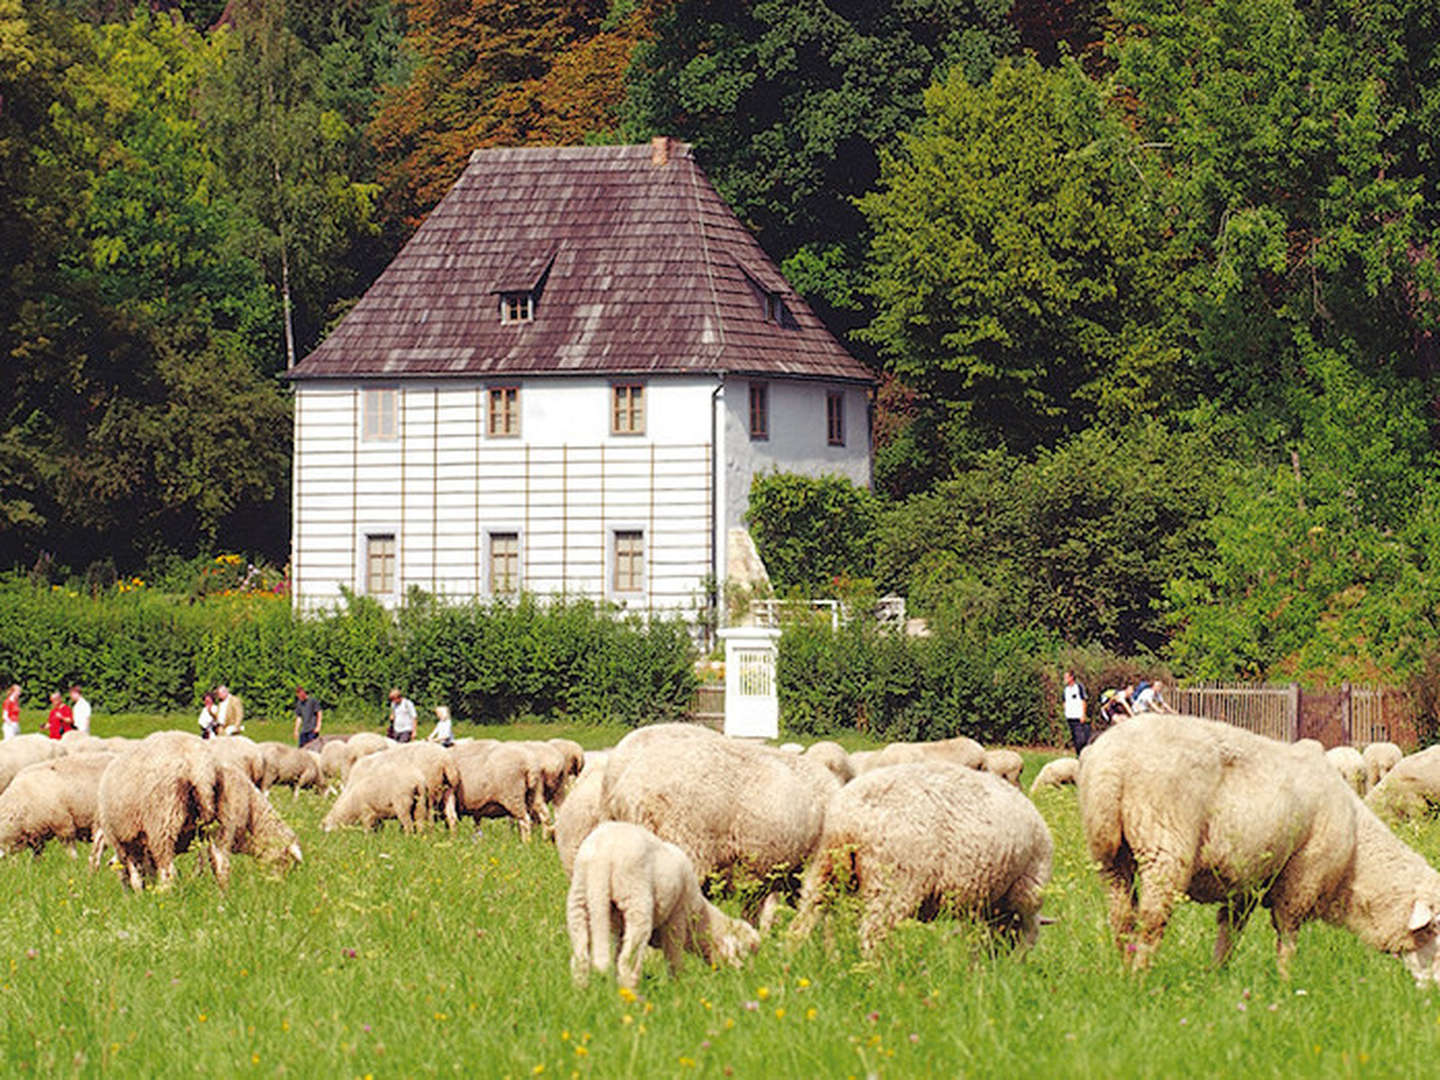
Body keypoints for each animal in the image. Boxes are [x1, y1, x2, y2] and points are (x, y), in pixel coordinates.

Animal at [564, 823, 760, 996]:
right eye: (745, 951)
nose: (748, 976)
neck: (701, 917)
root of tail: (603, 856)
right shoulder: (677, 918)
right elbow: (674, 957)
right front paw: (678, 987)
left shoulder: (620, 930)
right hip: (636, 900)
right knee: (628, 962)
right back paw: (632, 999)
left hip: (579, 899)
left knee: (580, 960)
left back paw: (582, 995)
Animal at [1077, 714, 1440, 984]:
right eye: (1435, 929)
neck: (1355, 864)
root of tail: (1115, 759)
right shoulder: (1302, 878)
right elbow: (1287, 935)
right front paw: (1286, 983)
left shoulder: (1245, 882)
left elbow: (1230, 931)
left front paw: (1217, 976)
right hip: (1164, 846)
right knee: (1152, 919)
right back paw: (1140, 978)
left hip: (1109, 856)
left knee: (1121, 917)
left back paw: (1124, 972)